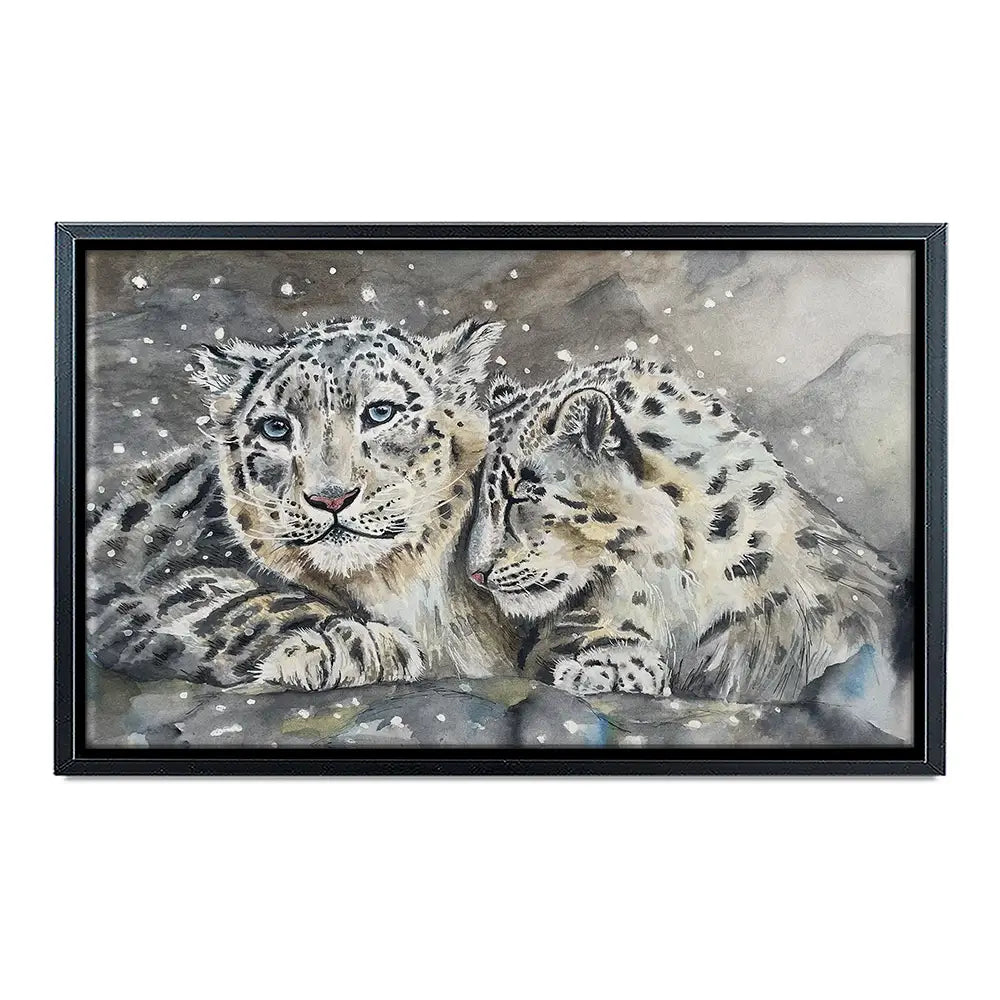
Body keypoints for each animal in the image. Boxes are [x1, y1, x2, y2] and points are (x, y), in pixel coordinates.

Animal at [87, 316, 519, 691]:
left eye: (381, 412)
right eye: (276, 428)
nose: (331, 497)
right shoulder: (146, 582)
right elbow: (234, 602)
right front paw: (353, 643)